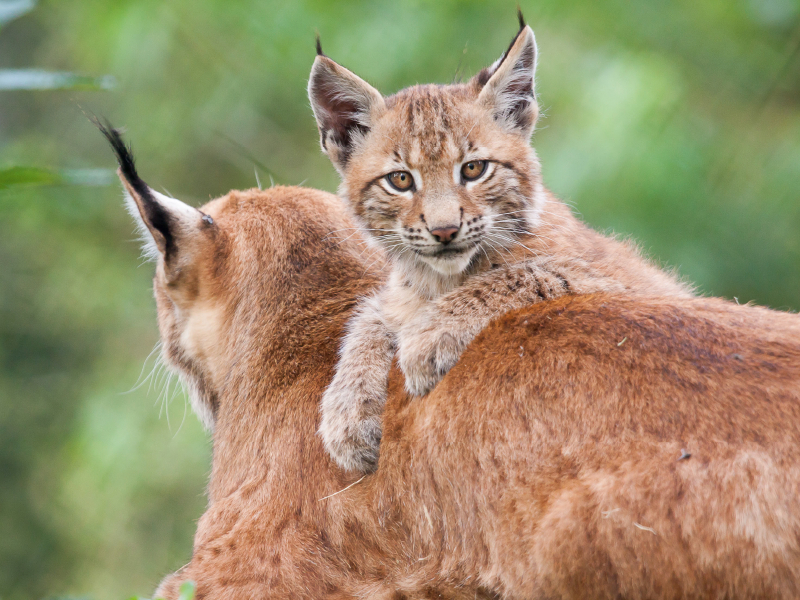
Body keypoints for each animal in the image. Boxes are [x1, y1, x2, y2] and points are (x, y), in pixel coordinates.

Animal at [310, 15, 692, 474]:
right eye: (400, 180)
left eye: (474, 169)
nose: (444, 230)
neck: (443, 279)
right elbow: (373, 314)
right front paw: (348, 408)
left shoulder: (634, 285)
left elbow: (526, 272)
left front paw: (430, 336)